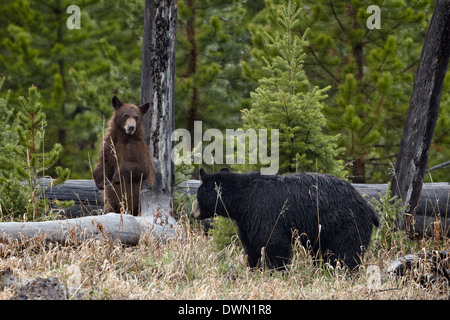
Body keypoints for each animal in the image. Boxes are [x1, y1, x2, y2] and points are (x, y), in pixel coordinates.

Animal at [193, 168, 380, 270]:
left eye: (198, 195)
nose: (193, 213)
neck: (242, 201)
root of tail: (369, 208)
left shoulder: (264, 213)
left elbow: (274, 243)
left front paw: (276, 271)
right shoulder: (247, 221)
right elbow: (251, 246)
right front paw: (254, 268)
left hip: (346, 224)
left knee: (347, 252)